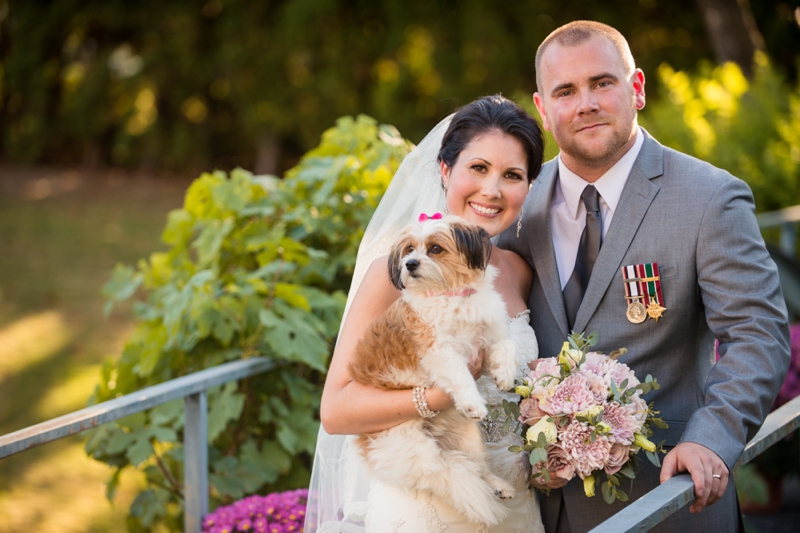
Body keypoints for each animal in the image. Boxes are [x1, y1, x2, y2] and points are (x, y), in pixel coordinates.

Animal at [350, 212, 520, 524]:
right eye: (409, 250)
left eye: (435, 249)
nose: (409, 264)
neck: (452, 294)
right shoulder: (438, 350)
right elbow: (461, 376)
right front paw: (473, 403)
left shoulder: (489, 334)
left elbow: (506, 345)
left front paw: (505, 374)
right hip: (414, 450)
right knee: (448, 472)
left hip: (469, 439)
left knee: (478, 468)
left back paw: (497, 485)